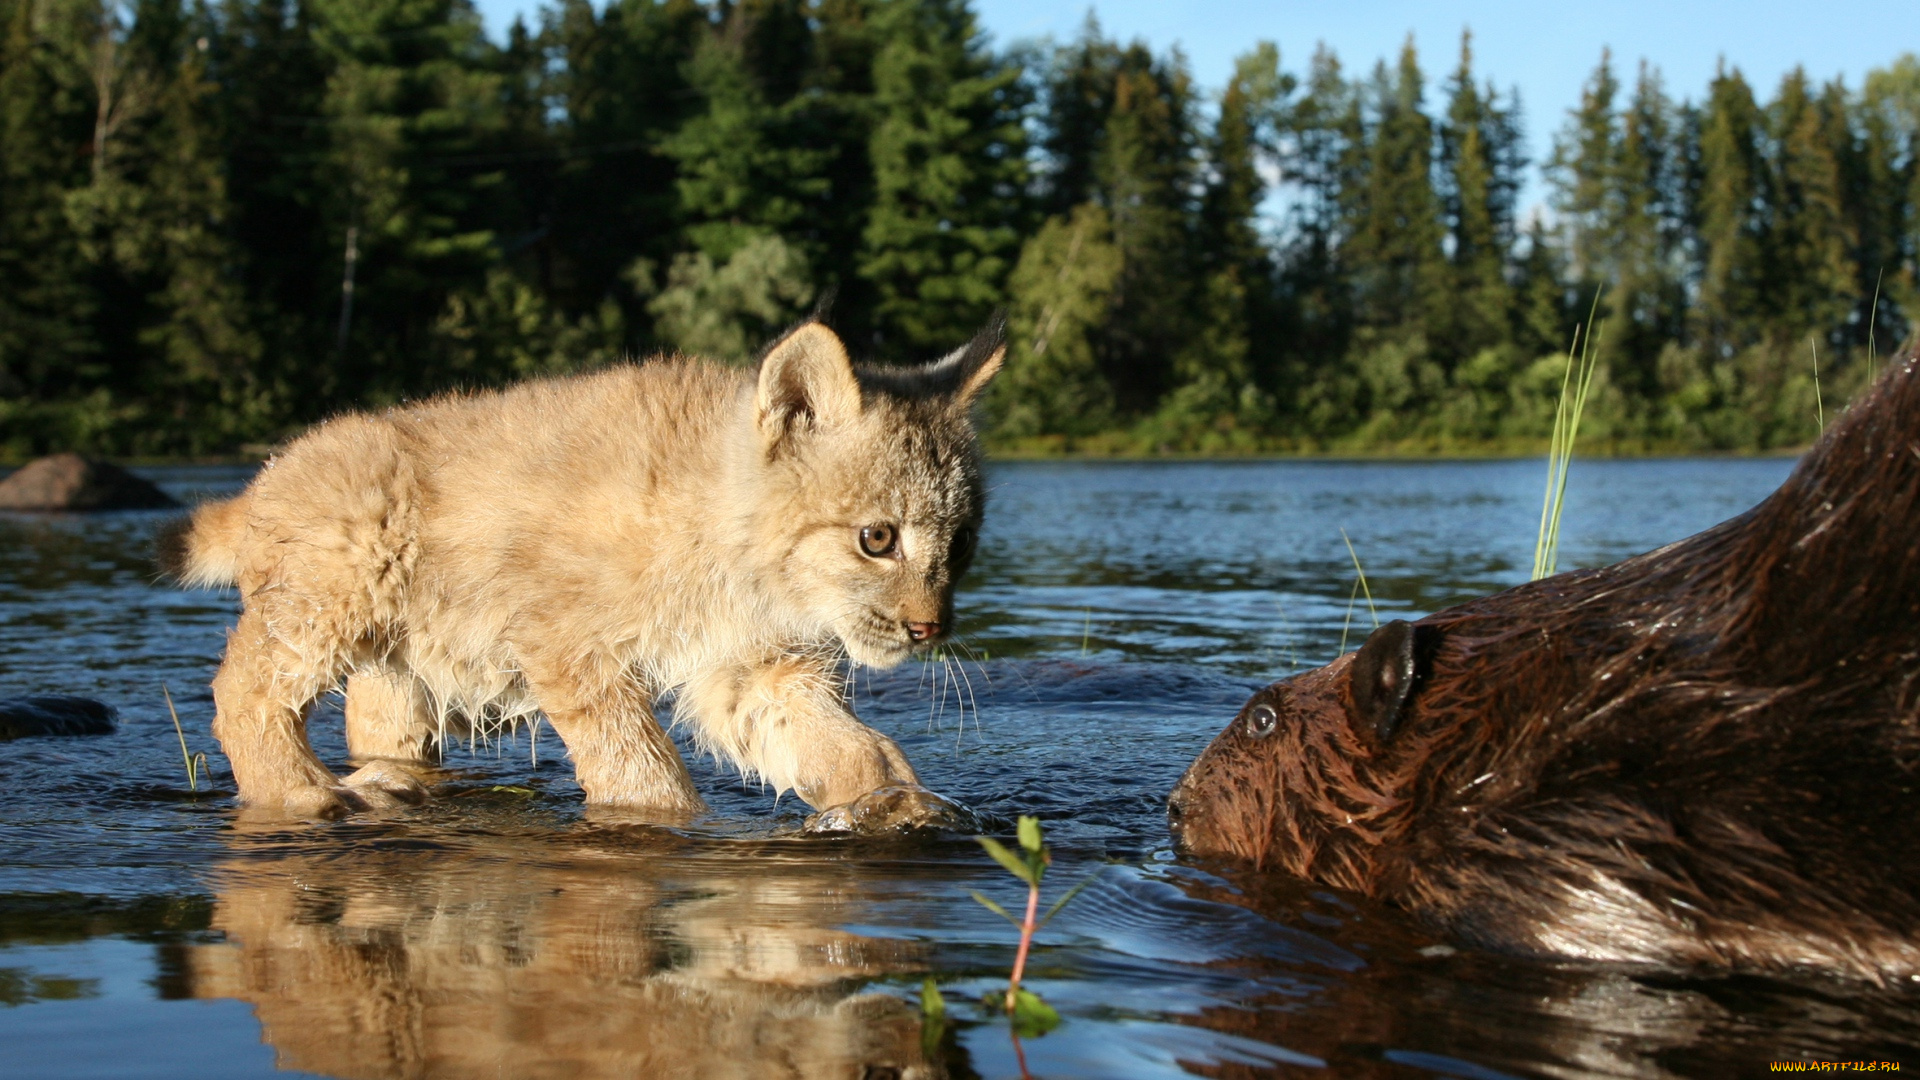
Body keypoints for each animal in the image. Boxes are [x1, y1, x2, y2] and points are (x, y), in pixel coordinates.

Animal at [161, 317, 1006, 814]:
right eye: (878, 538)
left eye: (962, 541)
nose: (930, 629)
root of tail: (268, 471)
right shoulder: (568, 645)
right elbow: (641, 768)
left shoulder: (746, 665)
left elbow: (831, 737)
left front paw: (888, 796)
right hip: (336, 594)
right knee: (240, 689)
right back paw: (303, 795)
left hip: (399, 664)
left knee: (376, 723)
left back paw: (389, 784)